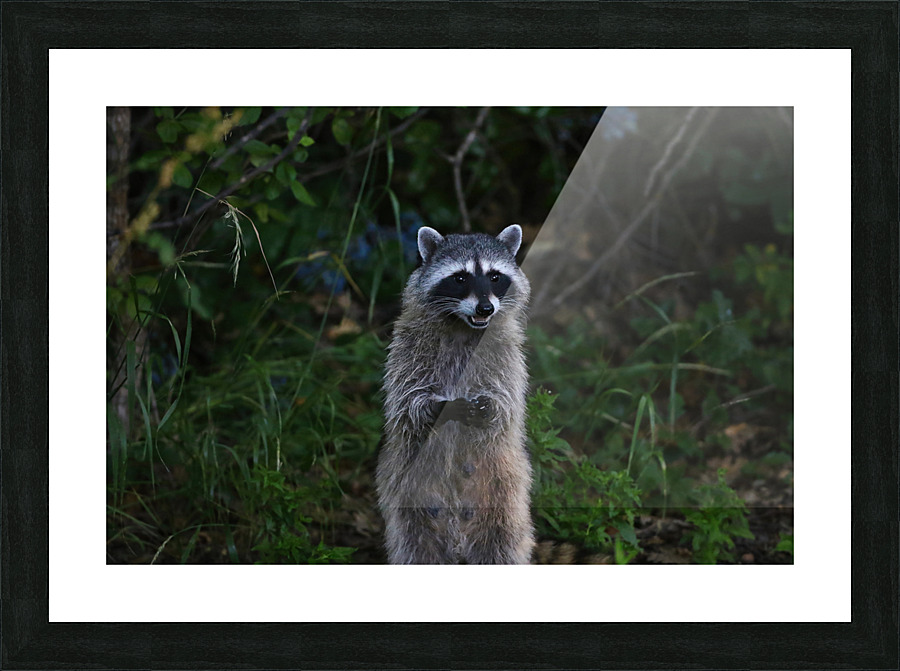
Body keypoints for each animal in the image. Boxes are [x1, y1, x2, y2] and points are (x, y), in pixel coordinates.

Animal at [376, 224, 534, 564]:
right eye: (460, 278)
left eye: (495, 276)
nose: (485, 308)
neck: (465, 327)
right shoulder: (407, 346)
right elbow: (407, 401)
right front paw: (439, 408)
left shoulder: (507, 353)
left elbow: (508, 404)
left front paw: (490, 407)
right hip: (410, 504)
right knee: (414, 549)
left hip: (504, 499)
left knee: (503, 547)